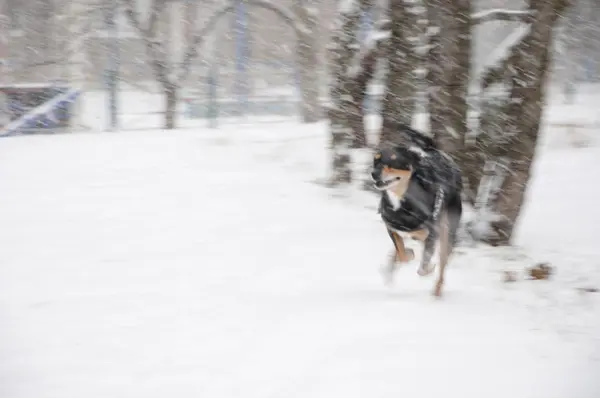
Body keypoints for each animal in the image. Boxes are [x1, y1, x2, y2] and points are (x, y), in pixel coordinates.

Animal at [370, 126, 464, 296]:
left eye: (394, 160)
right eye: (376, 160)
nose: (374, 173)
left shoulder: (433, 234)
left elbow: (423, 267)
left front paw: (428, 268)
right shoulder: (392, 228)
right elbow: (401, 252)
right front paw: (406, 254)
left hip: (448, 232)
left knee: (443, 264)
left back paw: (437, 291)